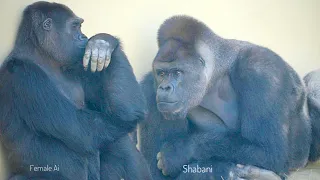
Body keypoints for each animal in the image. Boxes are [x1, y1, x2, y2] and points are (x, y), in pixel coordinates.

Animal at [0, 1, 151, 180]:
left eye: (80, 27)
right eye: (74, 27)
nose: (84, 37)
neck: (43, 55)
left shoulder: (80, 64)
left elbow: (118, 110)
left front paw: (104, 43)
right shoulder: (24, 76)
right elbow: (84, 129)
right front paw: (102, 43)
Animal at [139, 15, 312, 180]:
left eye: (177, 72)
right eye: (161, 73)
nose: (164, 87)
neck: (217, 73)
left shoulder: (261, 70)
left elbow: (267, 150)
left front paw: (181, 150)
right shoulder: (149, 90)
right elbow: (154, 174)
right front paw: (219, 171)